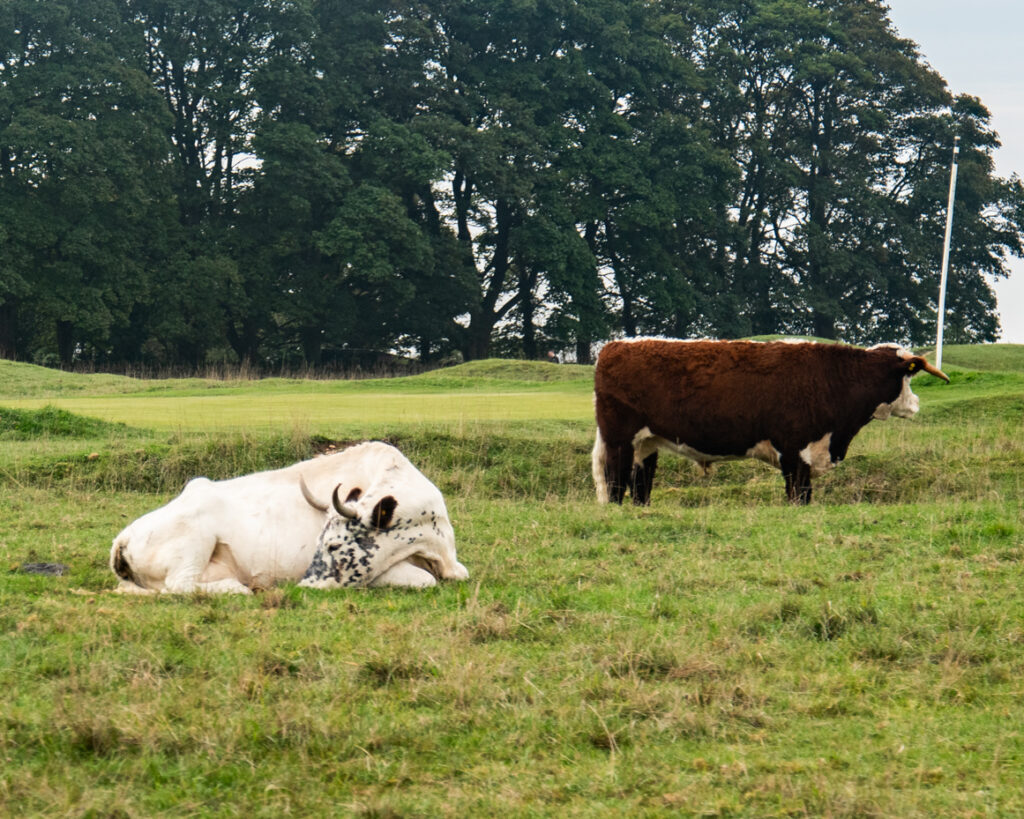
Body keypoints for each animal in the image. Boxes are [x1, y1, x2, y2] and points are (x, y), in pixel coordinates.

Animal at [110, 441, 469, 594]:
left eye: (334, 546)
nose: (305, 584)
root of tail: (123, 537)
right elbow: (423, 580)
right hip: (194, 541)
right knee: (180, 584)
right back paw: (237, 589)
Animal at [592, 339, 949, 505]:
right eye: (908, 376)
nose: (916, 404)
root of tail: (615, 346)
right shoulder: (796, 450)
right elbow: (800, 495)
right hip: (619, 440)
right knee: (615, 483)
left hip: (646, 443)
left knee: (640, 486)